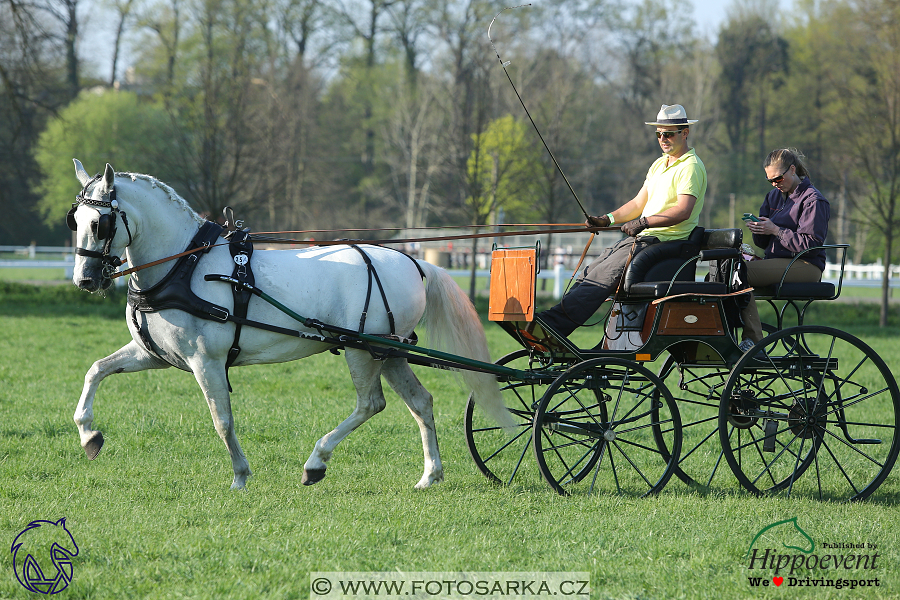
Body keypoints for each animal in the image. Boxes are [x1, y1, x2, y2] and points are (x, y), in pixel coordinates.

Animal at [67, 162, 510, 490]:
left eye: (100, 223)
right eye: (76, 220)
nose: (85, 280)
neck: (184, 265)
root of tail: (414, 262)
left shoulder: (205, 361)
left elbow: (222, 420)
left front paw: (240, 476)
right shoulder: (154, 354)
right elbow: (95, 370)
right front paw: (89, 435)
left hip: (361, 350)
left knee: (371, 403)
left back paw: (316, 461)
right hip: (389, 351)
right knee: (420, 402)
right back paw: (429, 475)